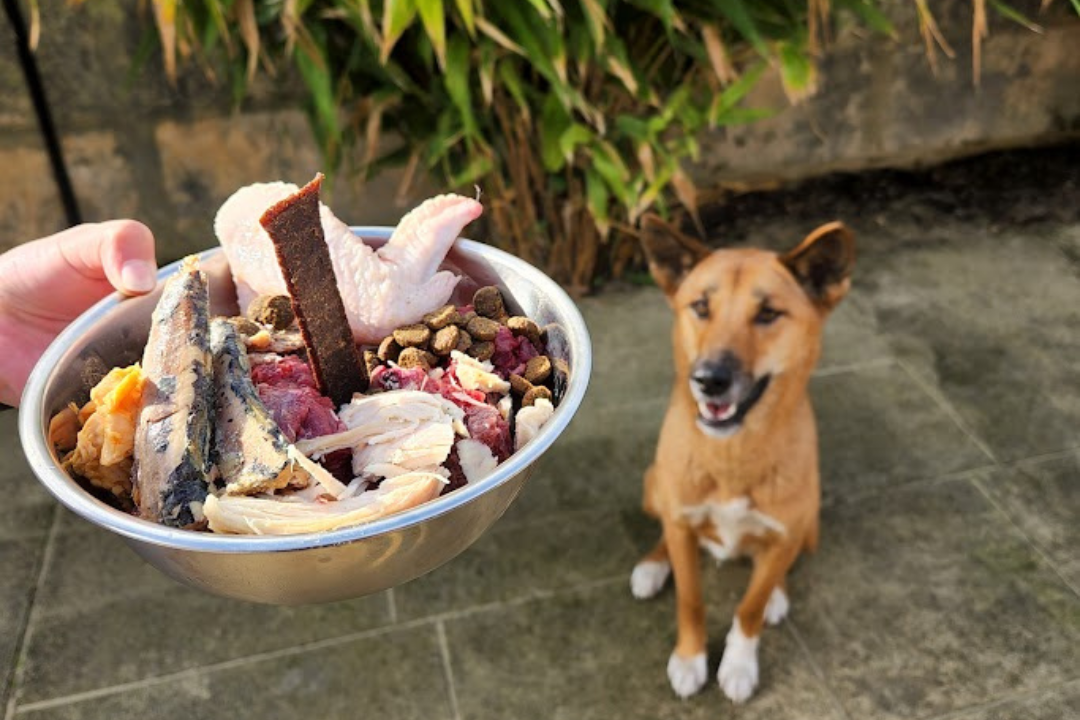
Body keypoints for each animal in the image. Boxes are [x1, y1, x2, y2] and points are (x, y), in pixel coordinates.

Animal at [630, 215, 855, 703]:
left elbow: (750, 606)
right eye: (700, 306)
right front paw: (690, 658)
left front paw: (738, 664)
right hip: (652, 485)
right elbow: (690, 598)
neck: (731, 454)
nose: (709, 380)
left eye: (768, 313)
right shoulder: (681, 520)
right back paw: (653, 565)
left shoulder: (786, 533)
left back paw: (777, 595)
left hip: (809, 523)